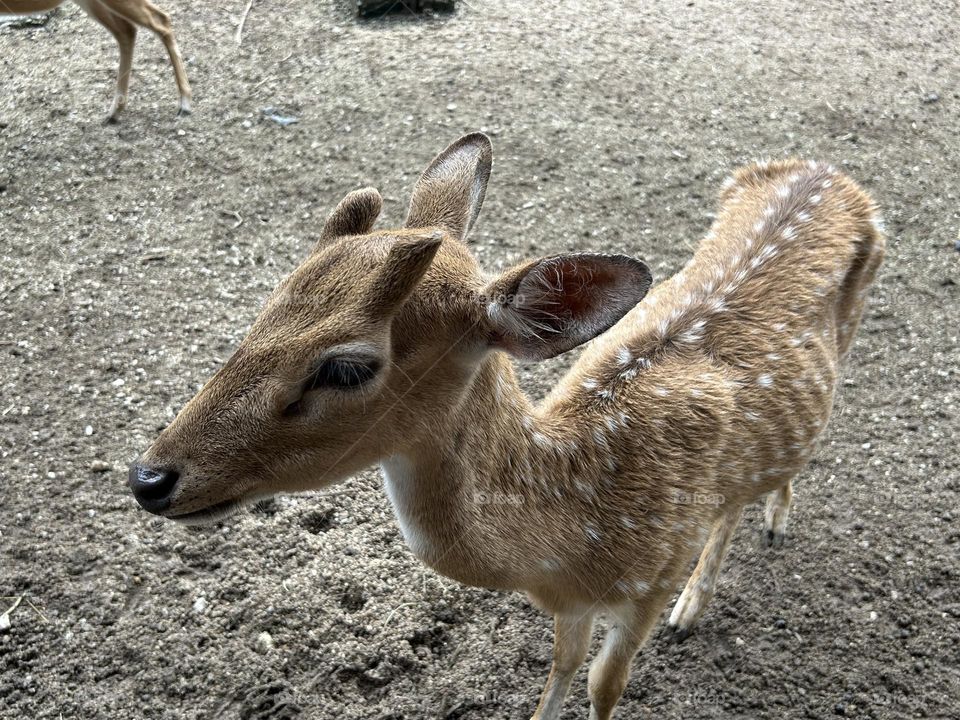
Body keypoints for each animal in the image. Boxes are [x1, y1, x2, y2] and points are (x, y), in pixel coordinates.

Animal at [128, 133, 884, 719]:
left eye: (344, 367)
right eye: (266, 306)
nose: (149, 478)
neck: (578, 541)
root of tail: (830, 169)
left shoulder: (648, 584)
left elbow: (605, 686)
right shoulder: (570, 604)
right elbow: (560, 666)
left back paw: (747, 550)